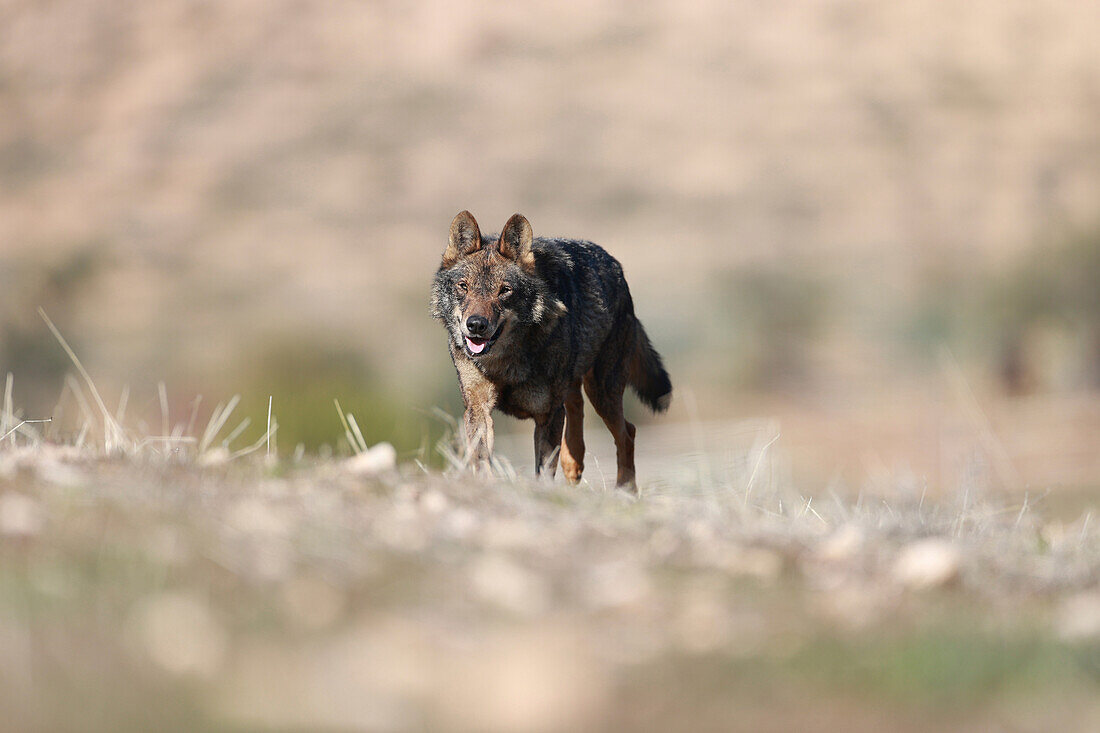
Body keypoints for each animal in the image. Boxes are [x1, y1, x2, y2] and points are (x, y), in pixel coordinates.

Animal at [429, 208, 668, 488]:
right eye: (463, 286)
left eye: (504, 291)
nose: (476, 325)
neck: (506, 362)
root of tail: (617, 267)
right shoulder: (477, 409)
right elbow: (481, 460)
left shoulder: (547, 413)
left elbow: (544, 470)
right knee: (577, 407)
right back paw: (574, 464)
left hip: (602, 391)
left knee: (627, 432)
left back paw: (624, 489)